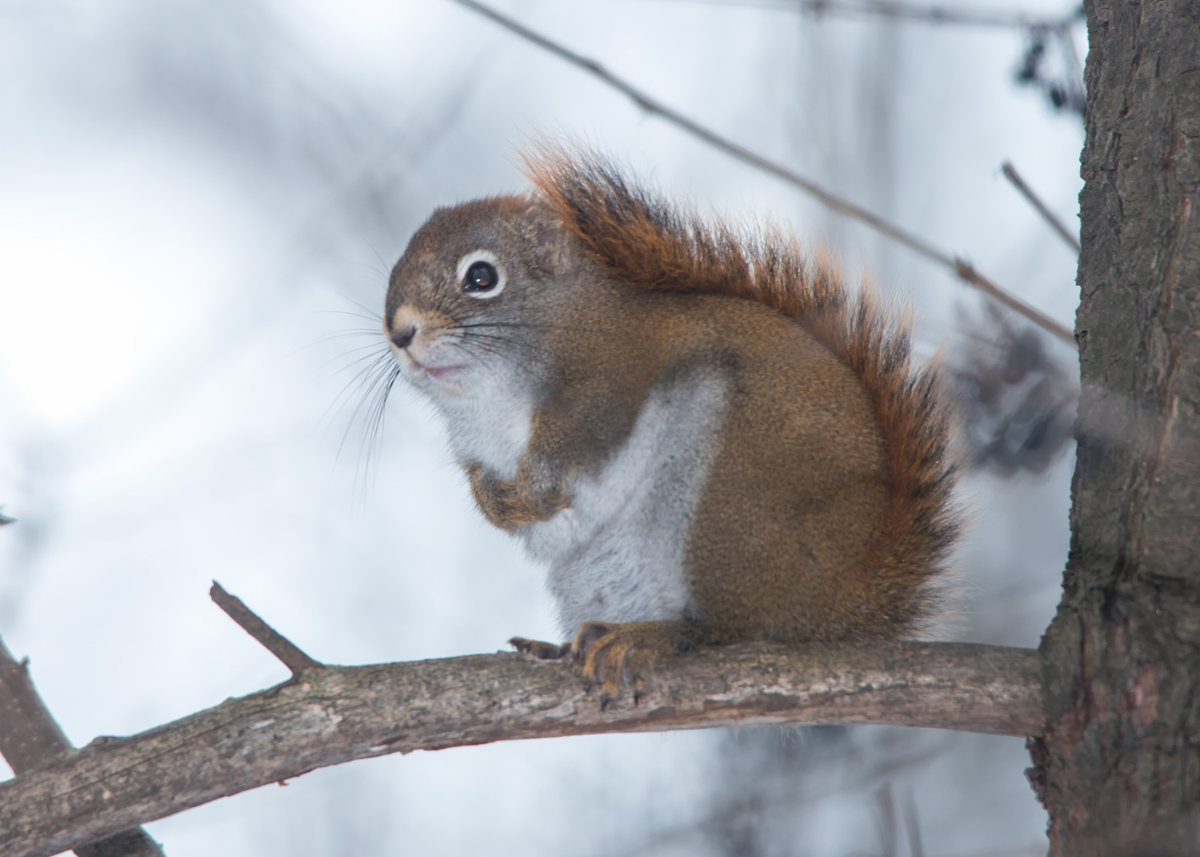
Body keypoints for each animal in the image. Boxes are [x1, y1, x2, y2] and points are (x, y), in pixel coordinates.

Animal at [383, 146, 959, 704]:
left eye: (481, 277)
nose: (399, 332)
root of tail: (850, 600)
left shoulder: (618, 375)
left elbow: (578, 439)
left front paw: (535, 491)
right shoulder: (475, 446)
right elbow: (484, 485)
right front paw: (501, 503)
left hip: (733, 505)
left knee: (733, 629)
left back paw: (656, 635)